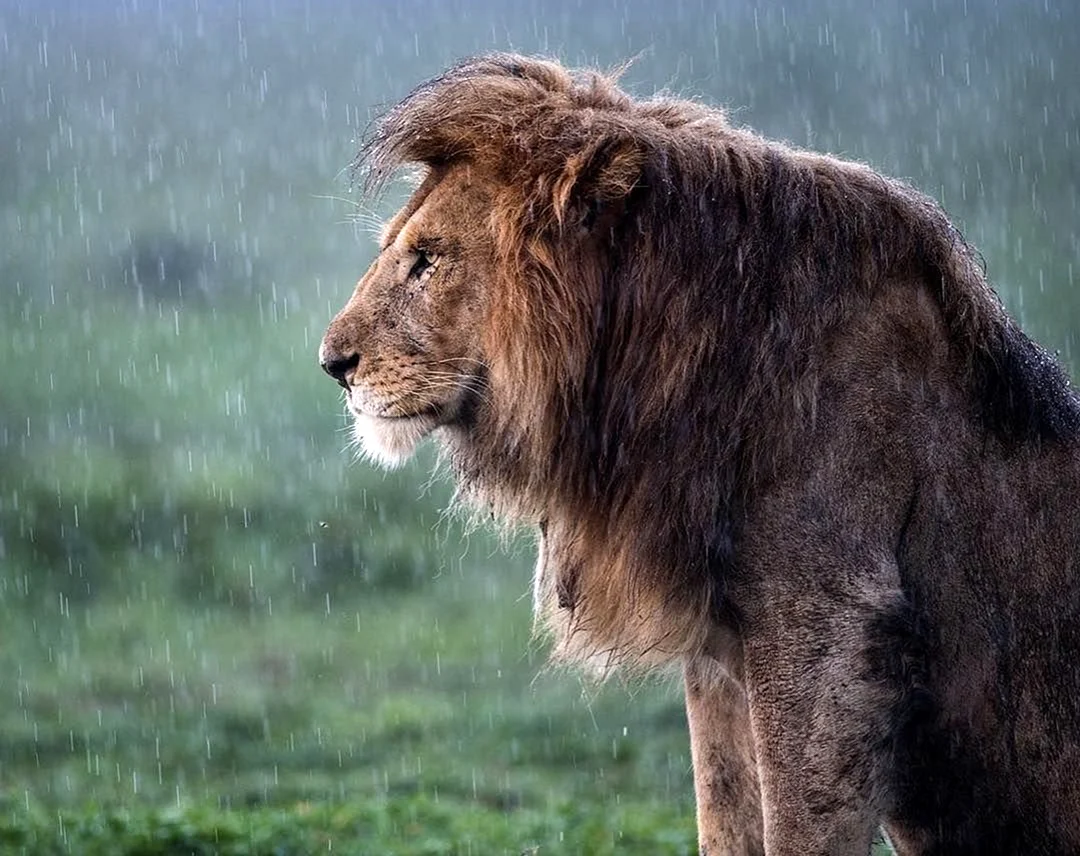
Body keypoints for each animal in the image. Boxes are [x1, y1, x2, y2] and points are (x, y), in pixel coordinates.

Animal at [318, 54, 1080, 855]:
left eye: (427, 261)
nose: (332, 364)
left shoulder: (826, 623)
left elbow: (798, 827)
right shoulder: (720, 646)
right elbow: (726, 810)